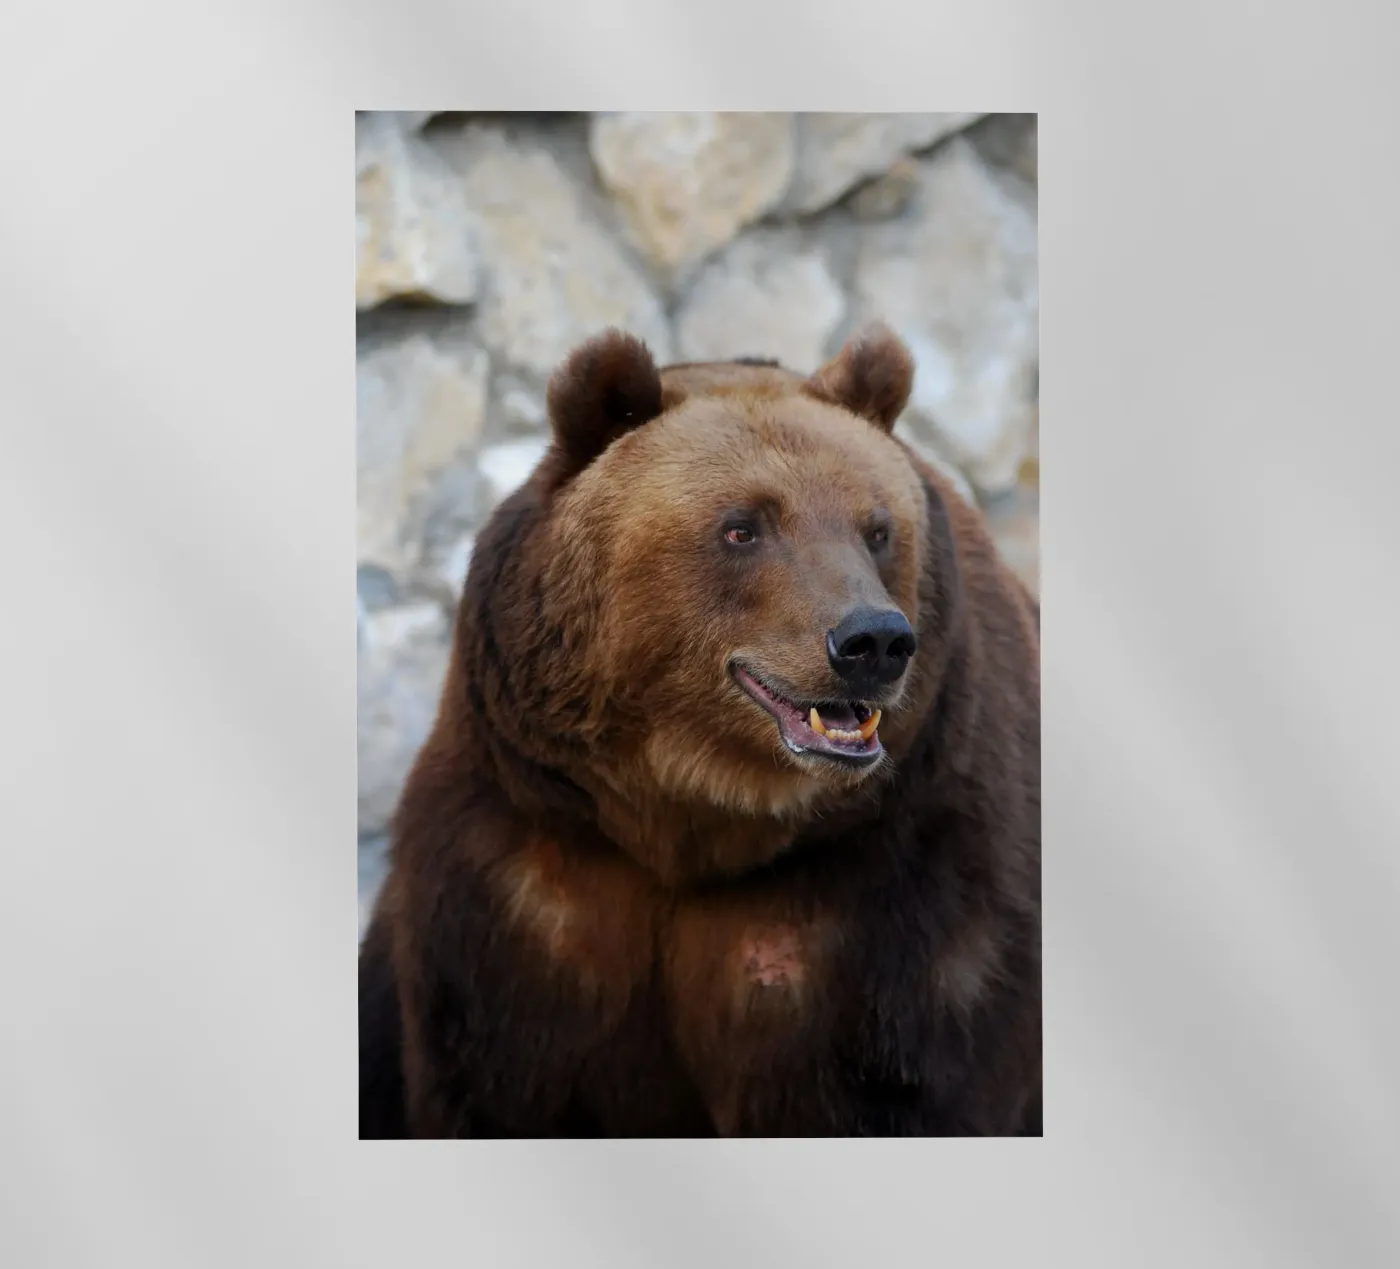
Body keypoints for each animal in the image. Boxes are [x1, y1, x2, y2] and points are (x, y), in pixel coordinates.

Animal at [359, 322, 1041, 1138]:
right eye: (743, 526)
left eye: (877, 528)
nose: (872, 640)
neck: (693, 814)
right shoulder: (529, 875)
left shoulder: (900, 889)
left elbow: (904, 1083)